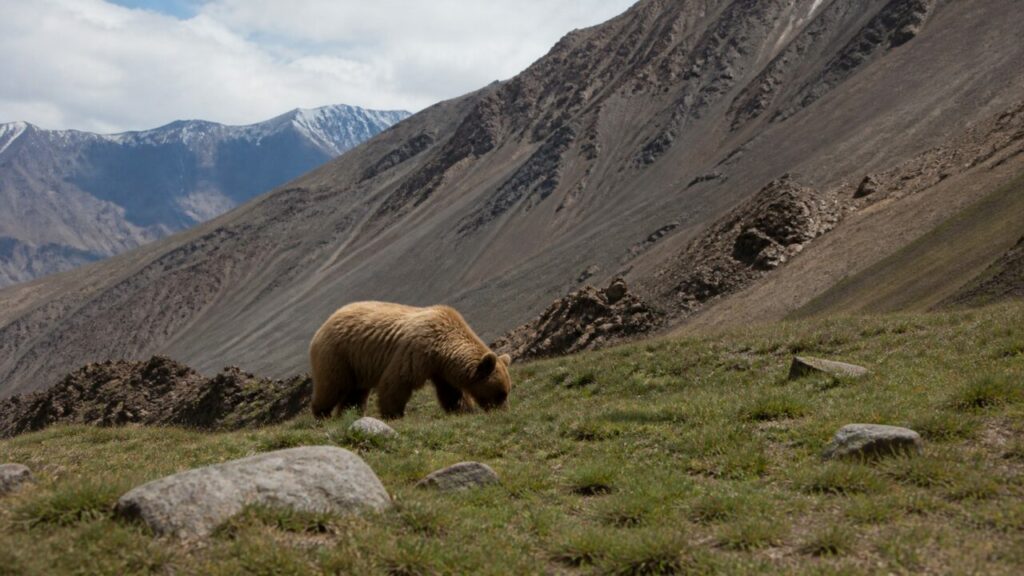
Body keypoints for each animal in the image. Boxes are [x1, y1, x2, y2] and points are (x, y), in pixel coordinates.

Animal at [309, 301, 513, 419]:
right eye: (501, 393)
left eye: (506, 391)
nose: (503, 411)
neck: (443, 348)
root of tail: (321, 327)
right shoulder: (416, 351)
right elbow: (397, 381)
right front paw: (394, 414)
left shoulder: (440, 369)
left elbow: (451, 392)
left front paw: (462, 409)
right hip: (338, 354)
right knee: (332, 385)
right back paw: (321, 413)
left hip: (356, 363)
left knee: (355, 392)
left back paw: (348, 414)